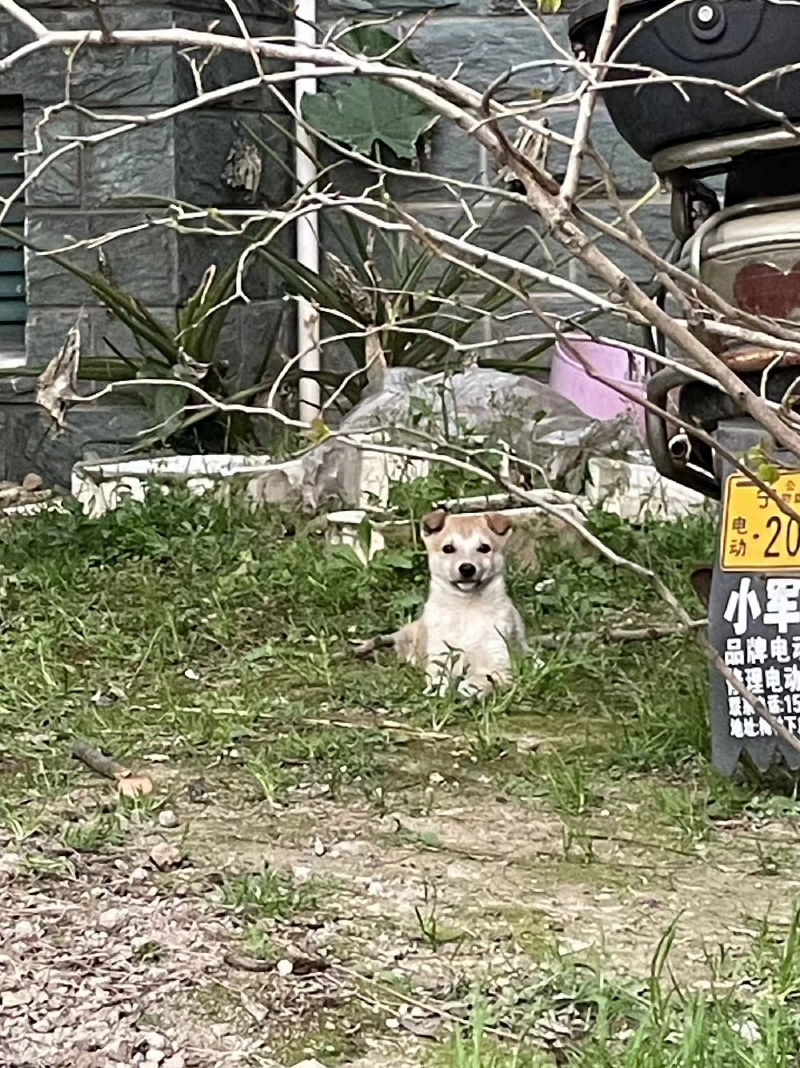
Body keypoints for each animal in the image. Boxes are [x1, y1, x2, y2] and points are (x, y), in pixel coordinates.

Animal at [356, 510, 523, 700]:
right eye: (448, 548)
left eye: (484, 548)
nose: (467, 568)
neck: (466, 609)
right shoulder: (441, 656)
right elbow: (440, 677)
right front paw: (440, 689)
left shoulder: (500, 662)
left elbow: (483, 678)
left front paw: (466, 688)